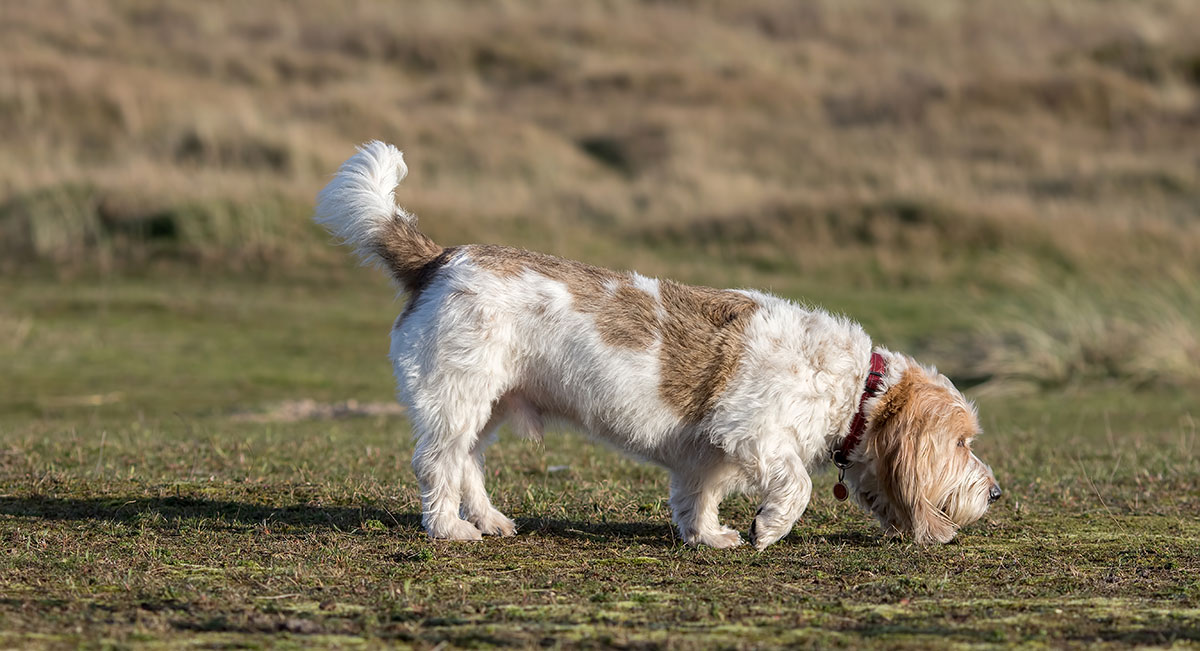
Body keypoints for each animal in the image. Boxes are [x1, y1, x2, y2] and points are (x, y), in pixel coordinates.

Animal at [314, 141, 998, 552]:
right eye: (962, 443)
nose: (994, 493)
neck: (857, 389)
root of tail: (438, 258)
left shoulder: (710, 453)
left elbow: (699, 495)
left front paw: (709, 536)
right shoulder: (756, 431)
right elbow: (795, 485)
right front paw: (769, 528)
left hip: (487, 406)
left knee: (468, 466)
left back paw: (489, 520)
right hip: (455, 400)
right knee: (438, 465)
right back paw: (450, 529)